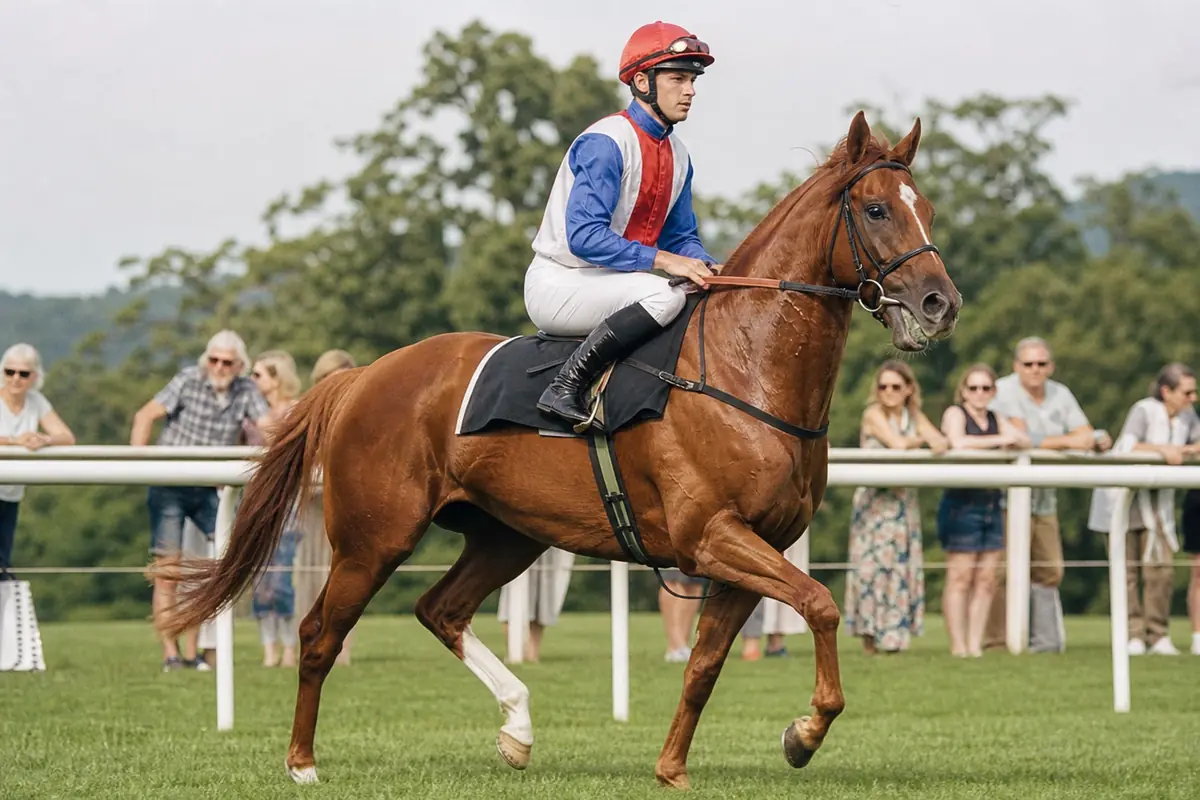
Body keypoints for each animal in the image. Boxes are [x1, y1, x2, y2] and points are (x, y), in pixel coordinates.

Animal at [156, 110, 960, 790]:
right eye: (878, 209)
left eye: (926, 206)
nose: (940, 304)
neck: (742, 369)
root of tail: (363, 377)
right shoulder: (712, 537)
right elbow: (822, 603)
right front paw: (804, 733)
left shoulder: (747, 550)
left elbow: (706, 664)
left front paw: (673, 769)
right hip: (372, 538)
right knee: (321, 632)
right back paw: (302, 763)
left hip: (507, 533)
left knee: (440, 609)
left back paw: (517, 729)